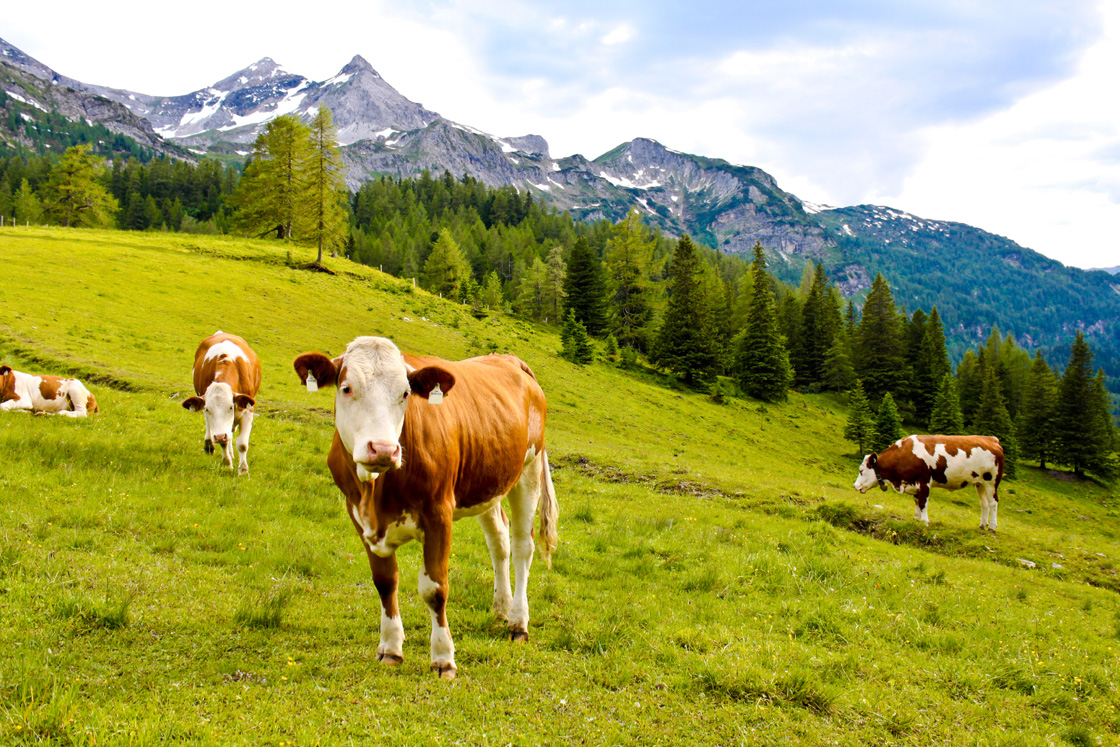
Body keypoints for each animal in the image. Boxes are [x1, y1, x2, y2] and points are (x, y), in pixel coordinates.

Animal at [181, 332, 261, 476]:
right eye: (208, 409)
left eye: (230, 407)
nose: (219, 436)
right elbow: (223, 441)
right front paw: (227, 464)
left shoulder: (247, 410)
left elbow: (242, 444)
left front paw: (243, 470)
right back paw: (209, 445)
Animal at [294, 336, 559, 679]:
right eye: (347, 388)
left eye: (405, 393)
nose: (383, 449)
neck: (376, 493)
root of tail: (508, 359)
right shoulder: (359, 517)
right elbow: (385, 582)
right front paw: (391, 648)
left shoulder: (438, 514)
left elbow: (435, 589)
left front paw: (443, 658)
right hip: (489, 481)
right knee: (499, 541)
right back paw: (501, 607)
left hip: (529, 469)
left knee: (523, 547)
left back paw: (518, 622)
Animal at [854, 435, 1005, 530]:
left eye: (861, 470)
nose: (855, 486)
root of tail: (992, 439)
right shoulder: (914, 483)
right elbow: (916, 501)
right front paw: (916, 519)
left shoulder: (924, 481)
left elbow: (923, 503)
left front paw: (924, 522)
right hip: (980, 483)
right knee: (984, 504)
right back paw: (983, 525)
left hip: (992, 481)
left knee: (993, 503)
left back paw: (992, 527)